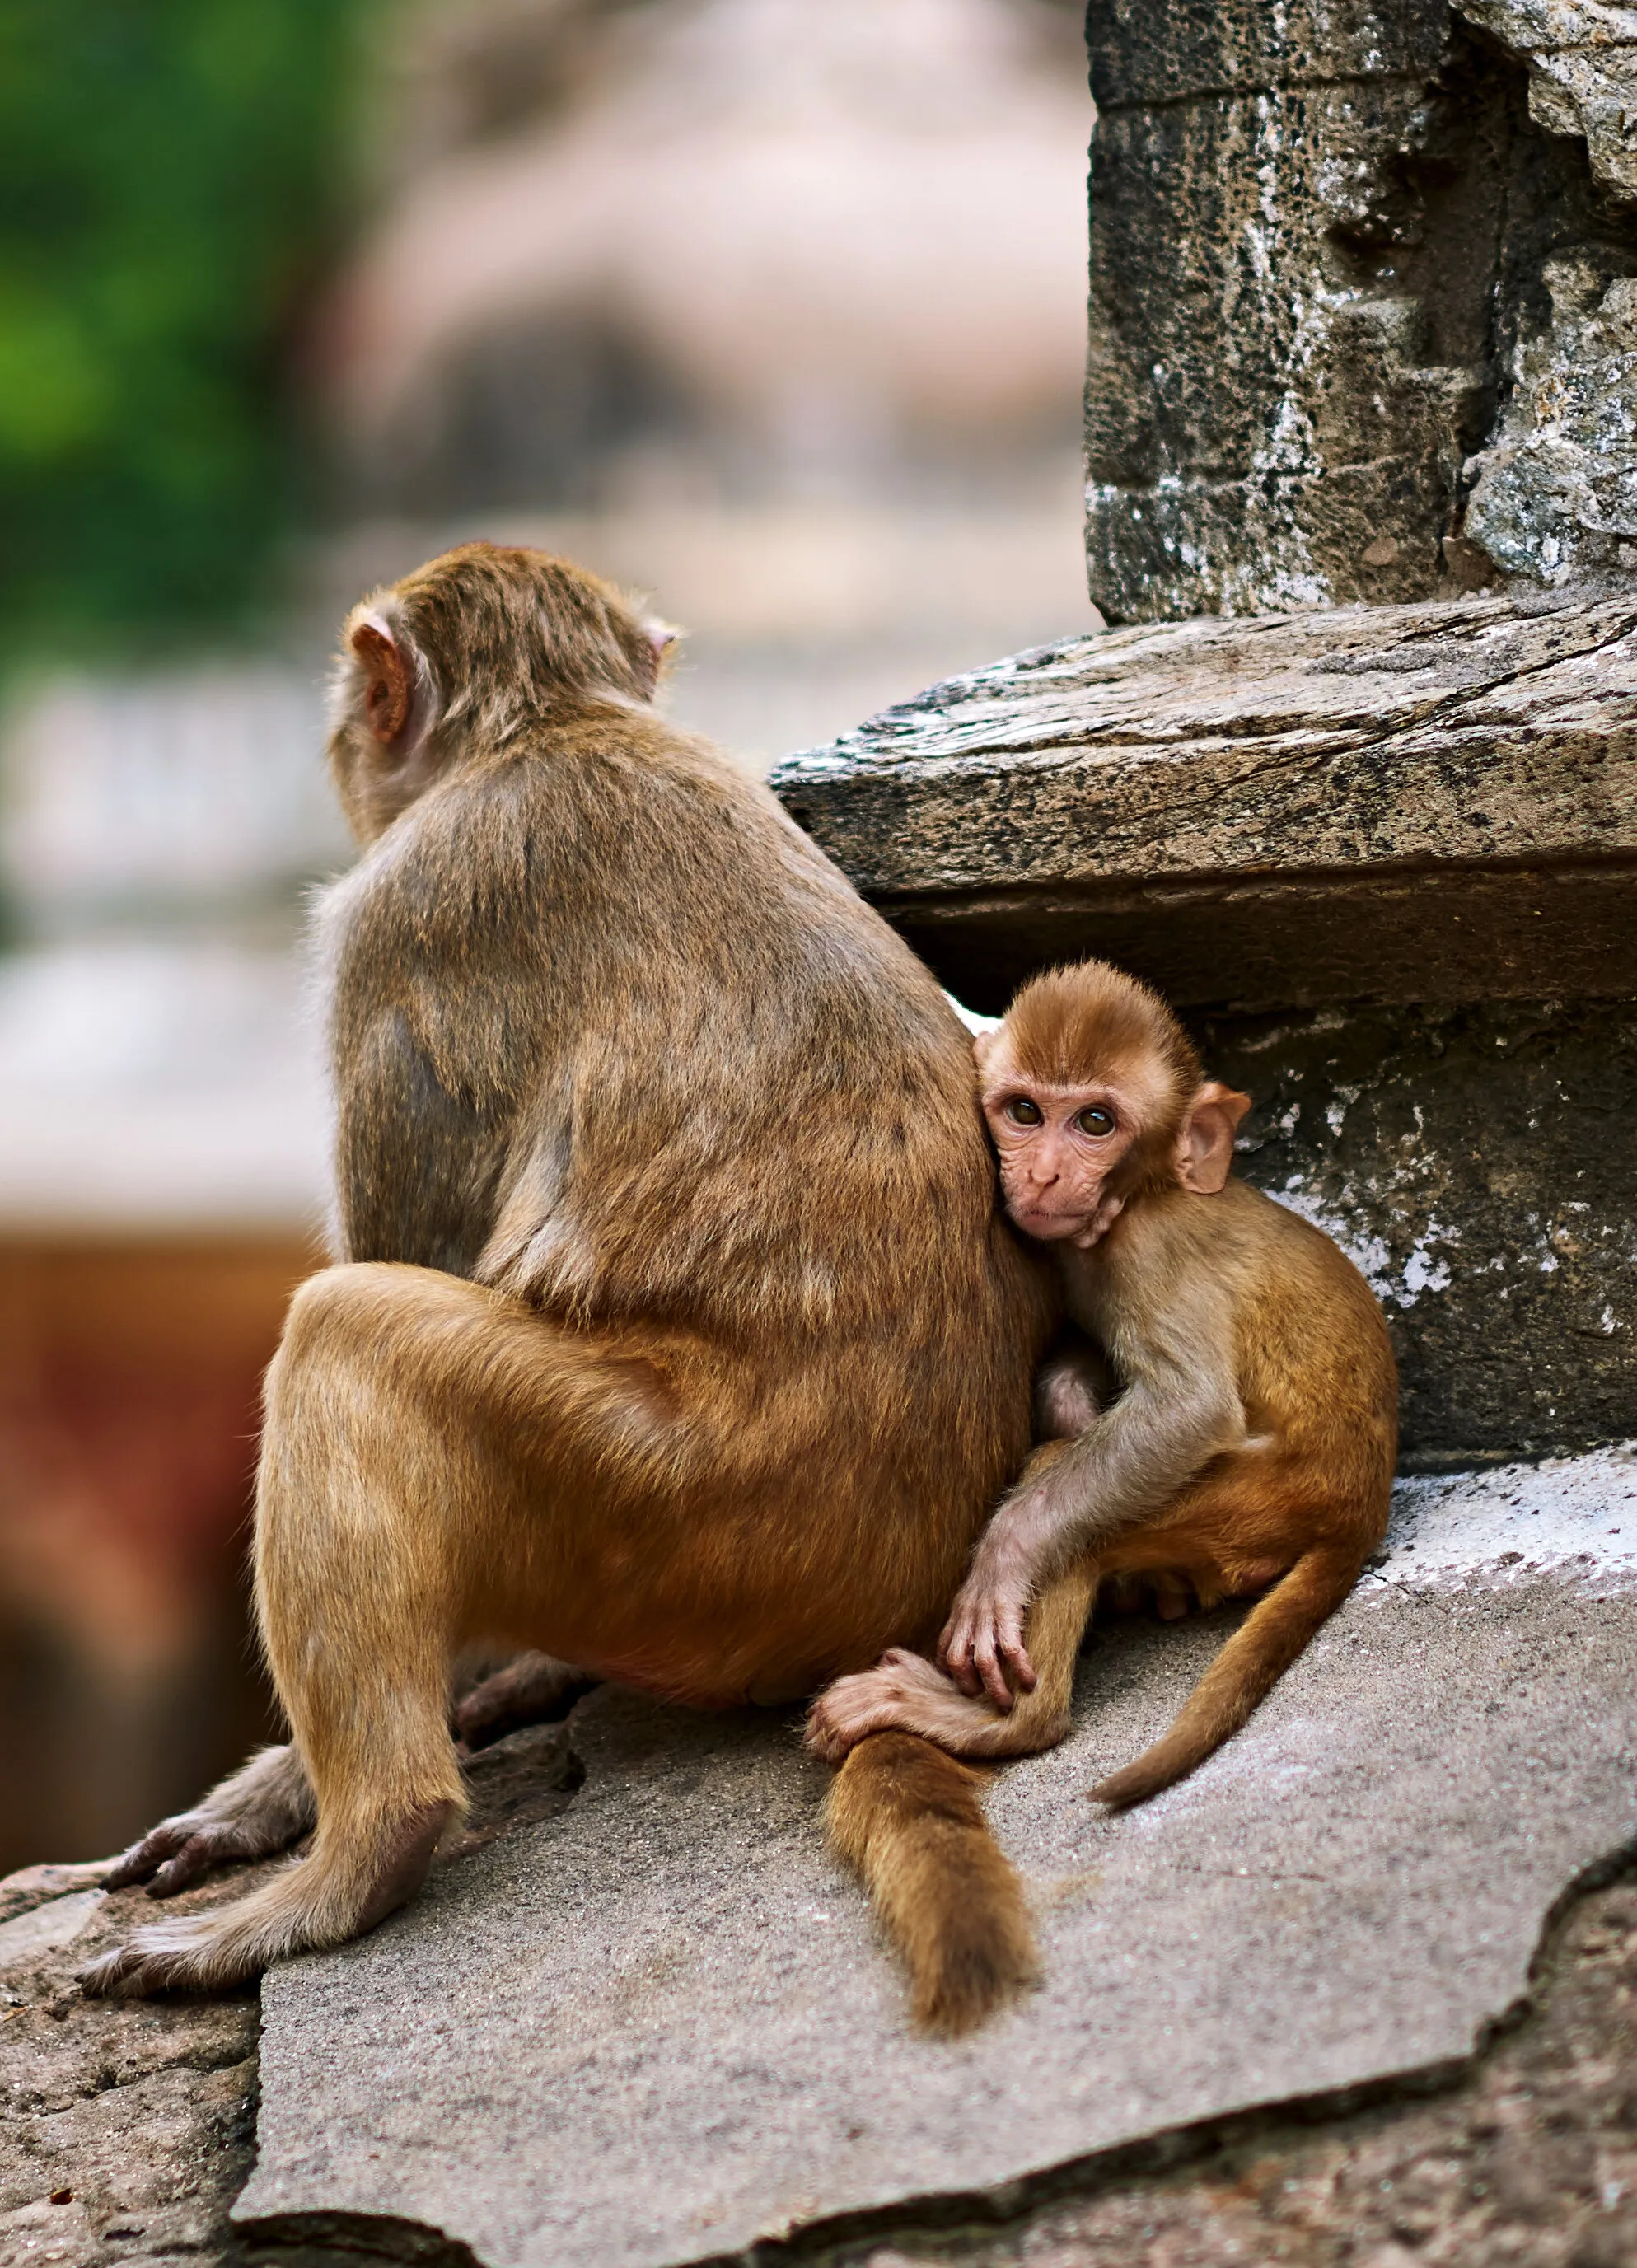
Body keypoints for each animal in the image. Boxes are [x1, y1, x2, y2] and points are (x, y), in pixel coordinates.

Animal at [81, 543, 1055, 2035]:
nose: (341, 744)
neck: (556, 724)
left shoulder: (394, 920)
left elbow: (402, 1250)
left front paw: (275, 1791)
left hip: (653, 1510)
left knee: (352, 1332)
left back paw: (363, 1851)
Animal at [806, 958, 1398, 1810]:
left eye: (1094, 1123)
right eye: (1023, 1111)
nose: (1044, 1171)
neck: (1142, 1195)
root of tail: (1359, 1507)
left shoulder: (1152, 1253)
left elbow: (1187, 1408)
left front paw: (1004, 1553)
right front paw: (1070, 1395)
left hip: (1256, 1495)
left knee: (1073, 1500)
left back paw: (1001, 1722)